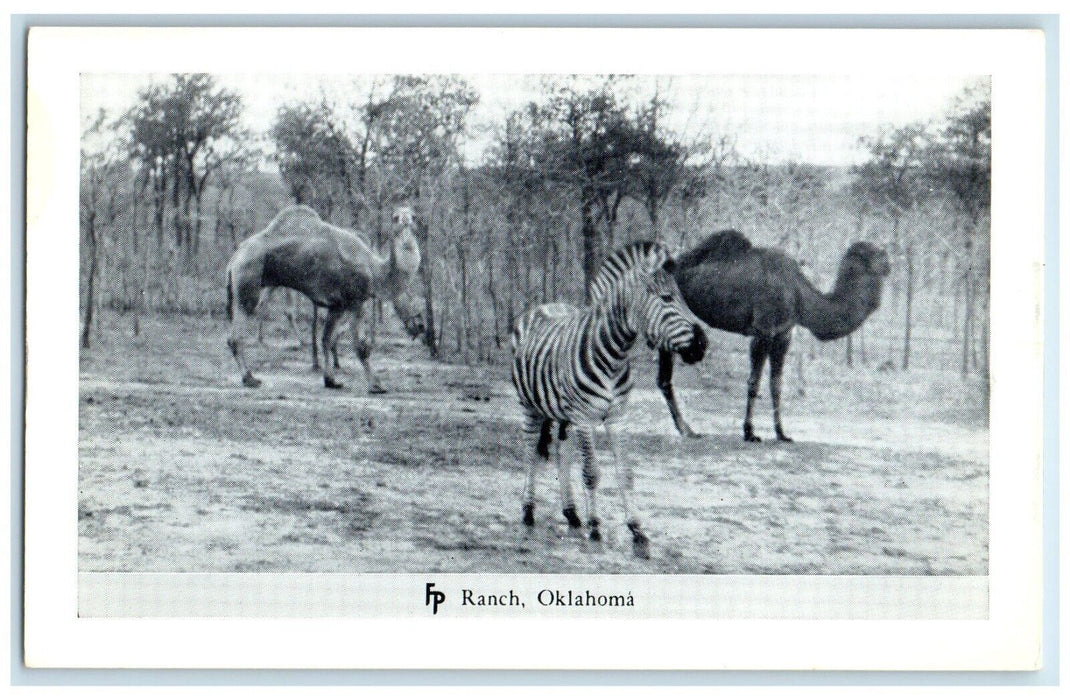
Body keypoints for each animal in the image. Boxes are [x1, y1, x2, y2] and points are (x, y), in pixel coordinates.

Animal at [226, 204, 423, 392]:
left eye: (414, 216)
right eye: (395, 217)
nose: (406, 221)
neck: (376, 272)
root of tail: (234, 258)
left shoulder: (337, 306)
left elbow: (326, 340)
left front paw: (331, 381)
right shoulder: (355, 301)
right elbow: (361, 346)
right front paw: (376, 386)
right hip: (248, 279)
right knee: (238, 332)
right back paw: (250, 378)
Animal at [510, 241, 708, 558]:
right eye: (666, 298)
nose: (702, 344)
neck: (613, 356)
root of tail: (545, 305)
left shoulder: (617, 417)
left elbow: (625, 473)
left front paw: (637, 531)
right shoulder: (584, 418)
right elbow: (591, 472)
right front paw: (595, 528)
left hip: (564, 415)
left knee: (561, 452)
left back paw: (571, 513)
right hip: (530, 406)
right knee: (530, 452)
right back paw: (528, 511)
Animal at [657, 230, 890, 442]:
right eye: (877, 254)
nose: (889, 263)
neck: (798, 293)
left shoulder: (783, 334)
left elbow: (776, 384)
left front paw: (781, 433)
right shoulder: (763, 331)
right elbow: (754, 382)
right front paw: (749, 432)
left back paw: (685, 429)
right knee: (664, 378)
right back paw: (686, 430)